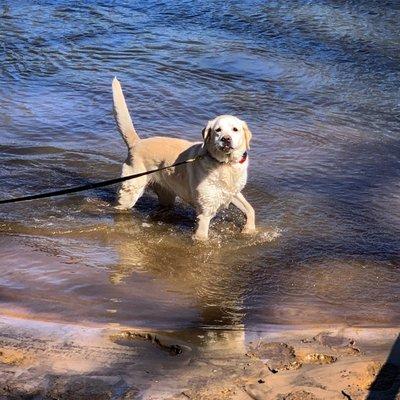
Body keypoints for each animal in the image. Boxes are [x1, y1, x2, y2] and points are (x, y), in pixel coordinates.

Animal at [112, 78, 256, 241]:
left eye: (235, 129)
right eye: (218, 130)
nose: (226, 139)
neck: (225, 164)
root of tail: (137, 143)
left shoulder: (232, 192)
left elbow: (250, 209)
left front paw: (249, 230)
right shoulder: (205, 211)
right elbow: (202, 237)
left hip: (166, 194)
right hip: (131, 190)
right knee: (121, 204)